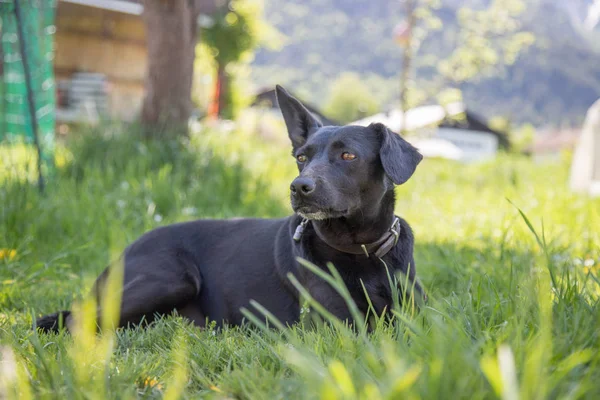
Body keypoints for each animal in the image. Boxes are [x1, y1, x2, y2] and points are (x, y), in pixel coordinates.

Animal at [35, 86, 424, 332]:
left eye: (348, 156)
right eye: (302, 157)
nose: (299, 187)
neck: (361, 250)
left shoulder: (419, 318)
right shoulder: (339, 326)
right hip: (174, 276)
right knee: (79, 323)